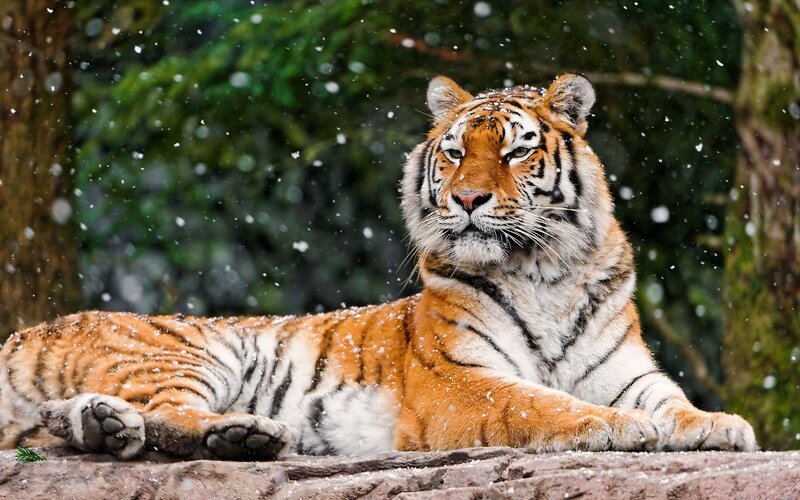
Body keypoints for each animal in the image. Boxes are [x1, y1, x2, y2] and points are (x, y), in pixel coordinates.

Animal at [0, 73, 757, 461]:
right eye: (454, 151)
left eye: (516, 151)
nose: (468, 199)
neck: (546, 271)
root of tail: (27, 330)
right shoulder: (459, 379)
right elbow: (538, 402)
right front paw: (616, 427)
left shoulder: (627, 370)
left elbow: (670, 399)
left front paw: (719, 424)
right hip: (185, 352)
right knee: (163, 416)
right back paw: (242, 433)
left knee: (88, 421)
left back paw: (114, 427)